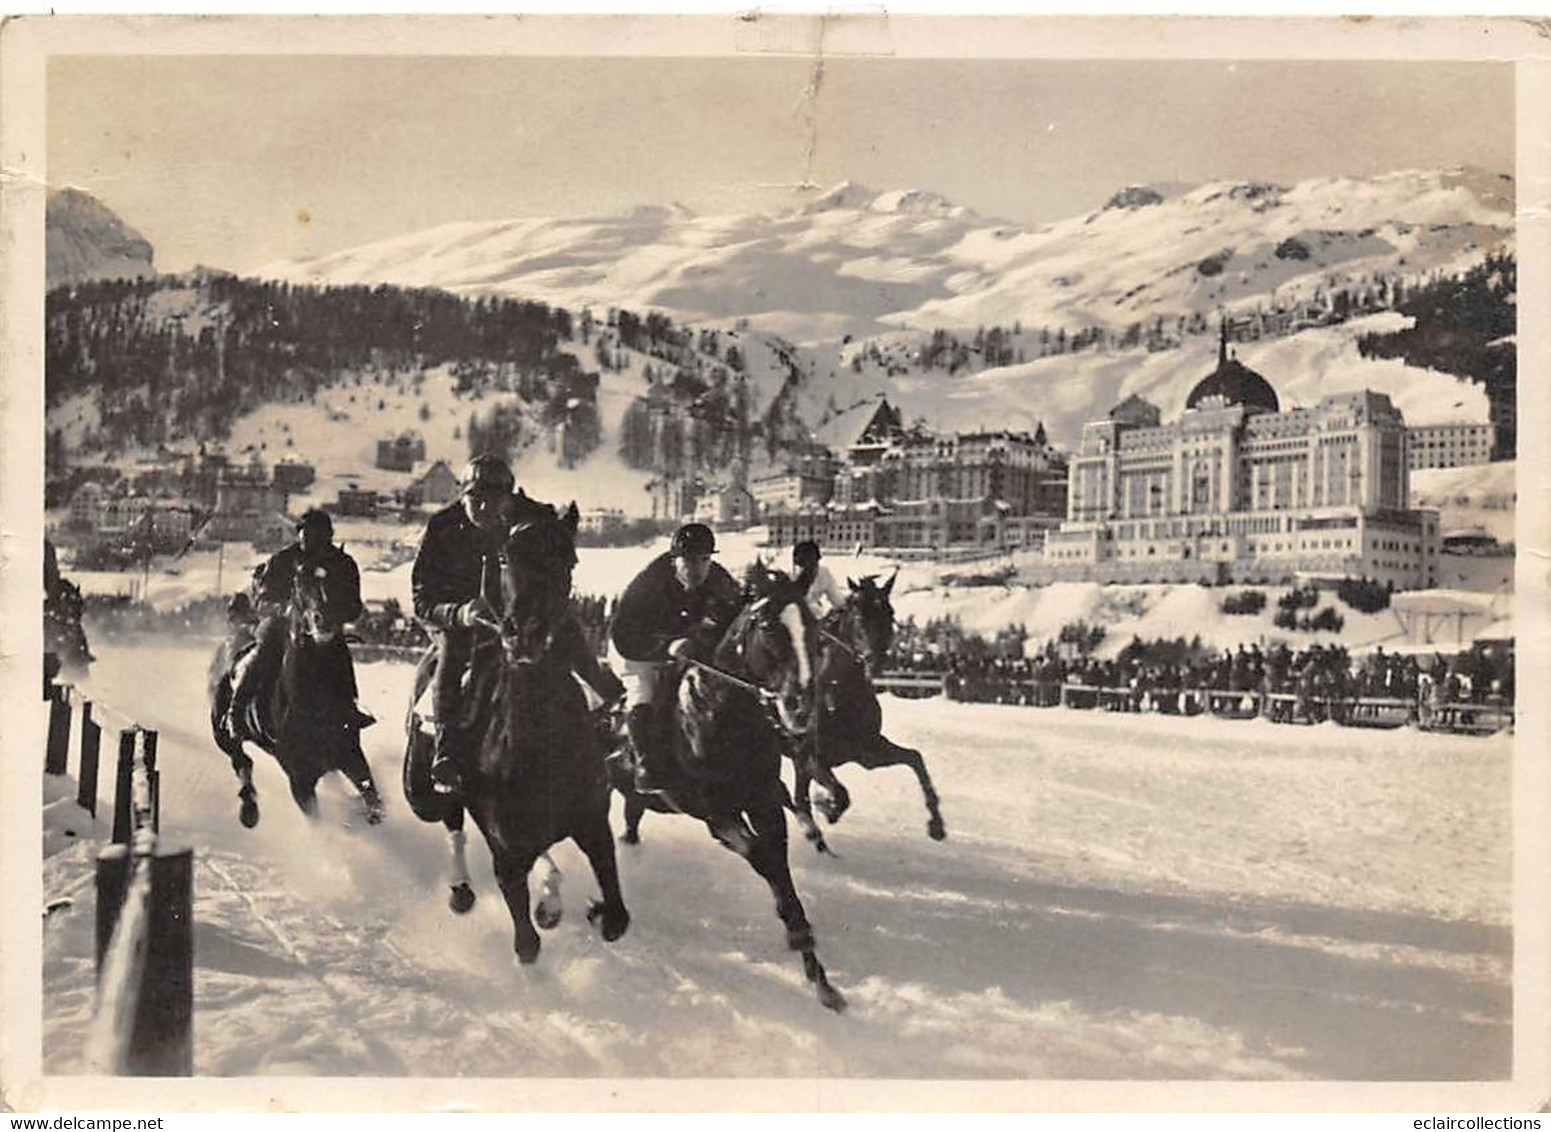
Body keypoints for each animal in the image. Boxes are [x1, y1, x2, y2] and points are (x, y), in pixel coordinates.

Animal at [207, 561, 383, 824]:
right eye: (299, 584)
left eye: (343, 577)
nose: (323, 619)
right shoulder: (300, 780)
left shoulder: (351, 754)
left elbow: (370, 793)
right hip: (223, 737)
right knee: (241, 761)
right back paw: (249, 810)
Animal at [424, 502, 629, 961]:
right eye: (504, 557)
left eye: (568, 560)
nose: (525, 635)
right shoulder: (506, 850)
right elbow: (527, 945)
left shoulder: (593, 821)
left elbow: (616, 919)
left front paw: (591, 909)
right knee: (453, 824)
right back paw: (462, 889)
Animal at [604, 561, 849, 1011]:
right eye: (769, 628)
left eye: (811, 628)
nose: (800, 707)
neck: (723, 712)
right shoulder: (714, 812)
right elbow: (765, 859)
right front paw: (798, 938)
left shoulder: (764, 800)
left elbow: (779, 864)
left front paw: (820, 977)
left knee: (630, 821)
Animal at [787, 567, 943, 843]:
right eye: (859, 615)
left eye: (889, 613)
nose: (876, 659)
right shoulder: (810, 755)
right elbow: (839, 794)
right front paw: (827, 806)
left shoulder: (867, 752)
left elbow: (915, 758)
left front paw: (936, 824)